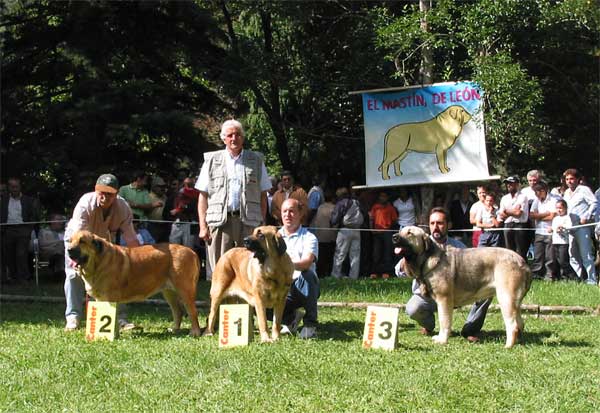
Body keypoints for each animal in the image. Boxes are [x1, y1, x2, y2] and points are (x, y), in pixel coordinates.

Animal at [67, 230, 200, 336]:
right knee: (178, 311)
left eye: (82, 241)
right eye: (70, 241)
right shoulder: (100, 299)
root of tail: (192, 252)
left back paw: (195, 332)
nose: (68, 250)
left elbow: (113, 318)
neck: (98, 263)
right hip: (169, 292)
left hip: (185, 290)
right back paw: (174, 330)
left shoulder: (112, 299)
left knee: (192, 311)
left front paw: (113, 335)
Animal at [396, 225, 532, 348]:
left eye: (409, 233)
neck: (427, 257)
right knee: (520, 323)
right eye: (400, 231)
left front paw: (442, 340)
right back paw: (518, 342)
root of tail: (522, 261)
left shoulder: (444, 300)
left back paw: (508, 345)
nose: (394, 237)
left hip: (506, 298)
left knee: (513, 325)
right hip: (514, 302)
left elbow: (444, 321)